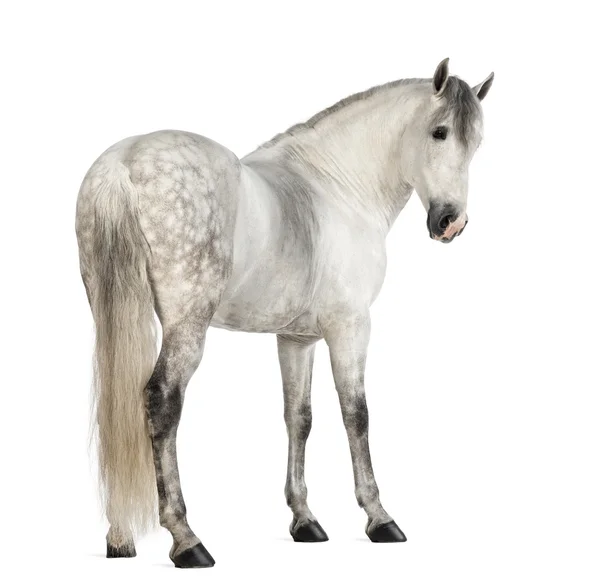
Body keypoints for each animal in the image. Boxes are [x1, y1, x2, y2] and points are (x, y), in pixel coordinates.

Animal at [76, 57, 492, 568]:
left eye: (477, 142)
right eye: (439, 132)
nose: (451, 223)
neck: (338, 186)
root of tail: (124, 161)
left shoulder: (296, 339)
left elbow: (300, 417)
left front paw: (305, 520)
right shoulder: (350, 327)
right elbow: (356, 414)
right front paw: (379, 517)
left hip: (111, 315)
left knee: (114, 402)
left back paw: (119, 538)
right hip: (186, 327)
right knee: (161, 401)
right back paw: (187, 540)